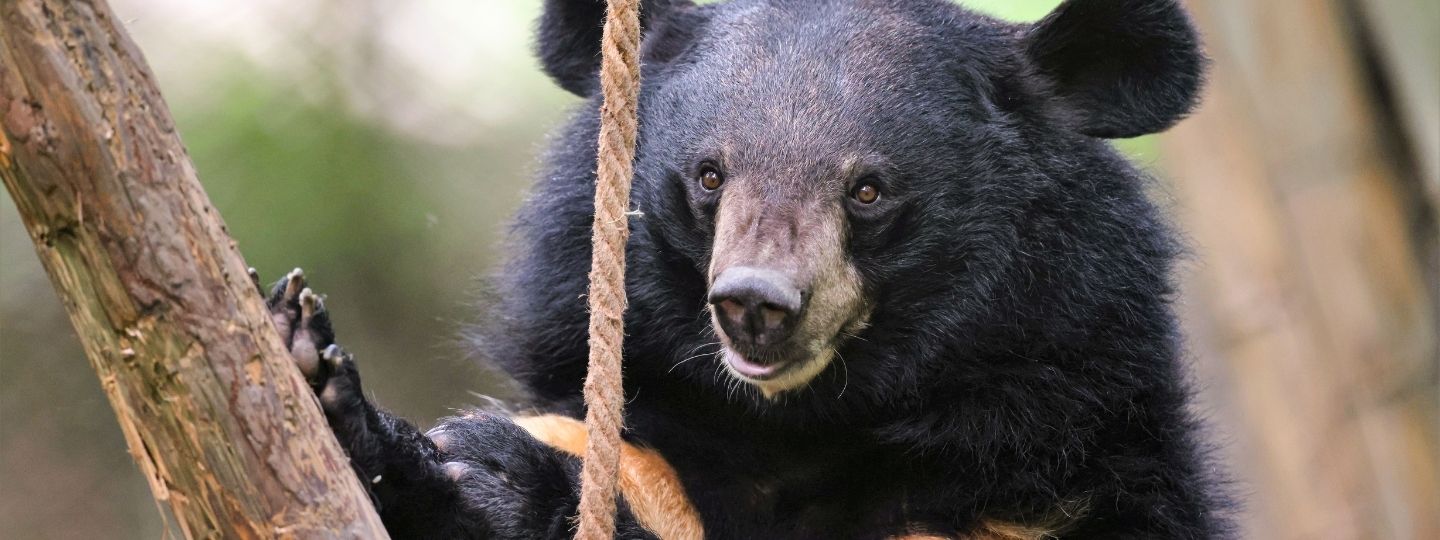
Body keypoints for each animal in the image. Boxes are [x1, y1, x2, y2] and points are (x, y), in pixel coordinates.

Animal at [260, 0, 1232, 537]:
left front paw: (495, 476)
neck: (802, 428)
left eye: (869, 189)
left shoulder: (1038, 490)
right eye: (710, 175)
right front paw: (329, 378)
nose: (755, 305)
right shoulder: (643, 447)